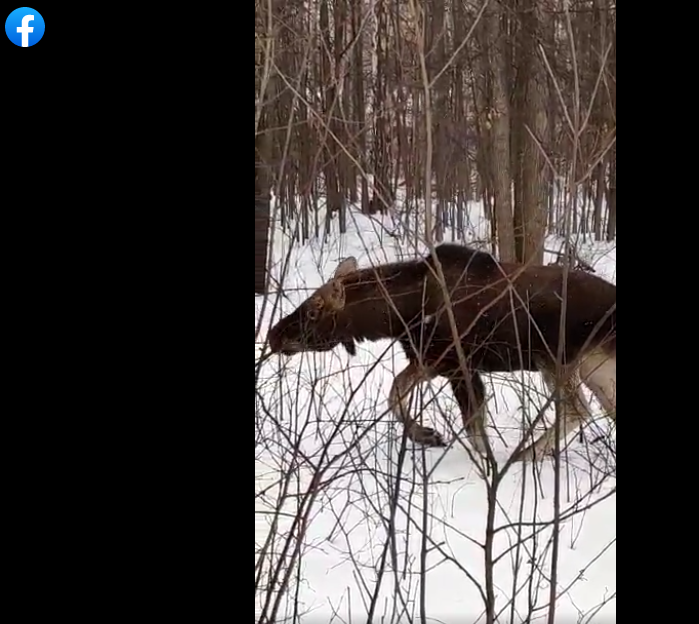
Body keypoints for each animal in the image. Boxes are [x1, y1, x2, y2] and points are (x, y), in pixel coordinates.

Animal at [268, 244, 616, 464]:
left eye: (314, 311)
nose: (274, 335)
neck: (399, 316)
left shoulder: (460, 366)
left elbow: (474, 427)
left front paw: (487, 464)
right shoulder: (429, 362)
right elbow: (395, 394)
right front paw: (427, 435)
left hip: (557, 360)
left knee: (576, 409)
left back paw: (526, 454)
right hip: (594, 366)